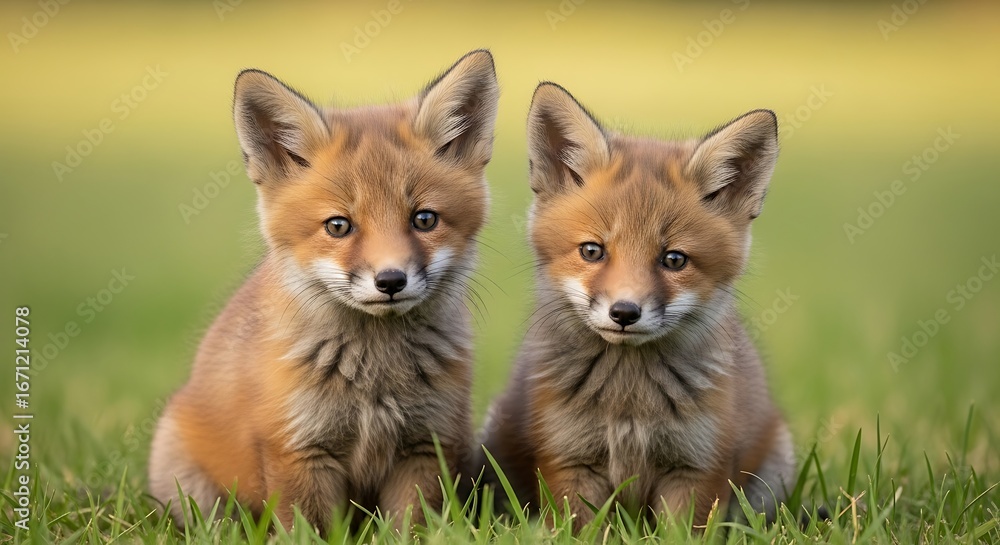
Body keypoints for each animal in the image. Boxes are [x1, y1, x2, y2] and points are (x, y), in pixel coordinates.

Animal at [148, 50, 499, 531]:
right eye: (338, 226)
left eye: (424, 219)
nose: (391, 281)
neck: (375, 377)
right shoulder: (299, 449)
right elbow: (307, 528)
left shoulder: (426, 445)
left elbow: (411, 527)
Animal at [478, 82, 794, 530]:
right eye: (592, 251)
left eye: (674, 260)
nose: (625, 313)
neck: (629, 403)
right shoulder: (569, 460)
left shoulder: (696, 466)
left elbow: (682, 533)